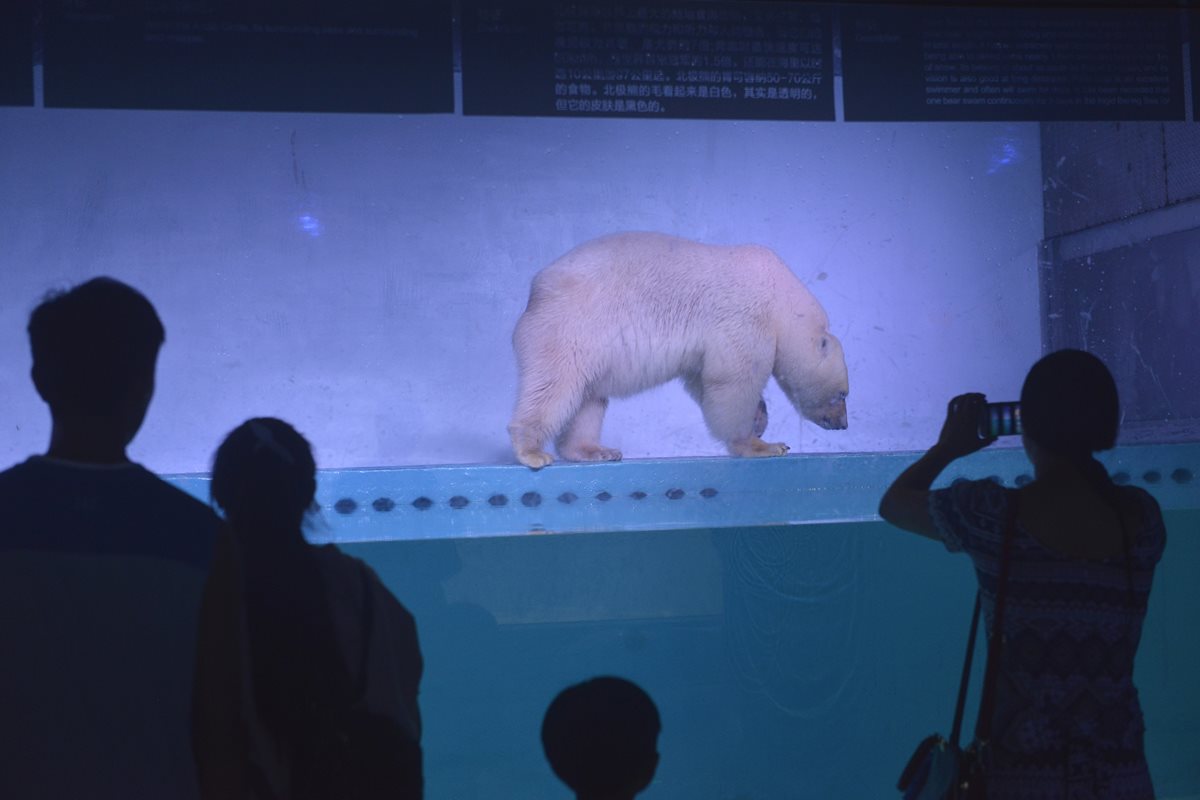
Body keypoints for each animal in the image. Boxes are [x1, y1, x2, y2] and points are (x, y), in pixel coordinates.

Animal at [506, 231, 854, 470]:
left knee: (588, 399)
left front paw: (760, 418)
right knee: (555, 387)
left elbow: (703, 380)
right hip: (571, 329)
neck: (779, 293)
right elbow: (733, 381)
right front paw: (762, 444)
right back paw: (532, 451)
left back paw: (594, 450)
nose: (843, 424)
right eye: (842, 394)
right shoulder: (745, 317)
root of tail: (536, 292)